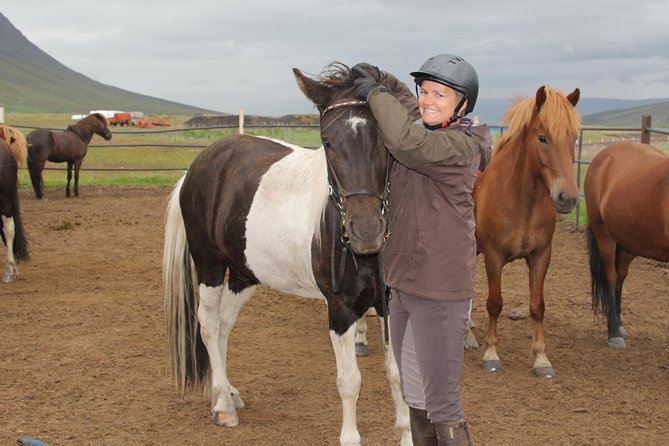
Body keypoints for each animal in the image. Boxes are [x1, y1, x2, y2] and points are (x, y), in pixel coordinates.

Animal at [163, 63, 411, 446]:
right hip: (209, 264)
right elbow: (349, 382)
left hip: (244, 273)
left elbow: (398, 374)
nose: (365, 232)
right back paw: (222, 405)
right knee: (208, 324)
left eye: (385, 139)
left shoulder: (390, 302)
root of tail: (200, 164)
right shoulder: (340, 309)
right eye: (327, 141)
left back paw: (229, 391)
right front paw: (350, 436)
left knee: (224, 325)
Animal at [473, 86, 581, 378]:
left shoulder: (541, 256)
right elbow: (494, 303)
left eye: (574, 137)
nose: (568, 198)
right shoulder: (493, 256)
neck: (521, 200)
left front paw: (541, 357)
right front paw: (490, 354)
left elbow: (537, 306)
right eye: (542, 137)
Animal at [584, 142, 669, 349]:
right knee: (610, 277)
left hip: (628, 243)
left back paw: (619, 324)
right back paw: (614, 332)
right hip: (604, 237)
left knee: (620, 276)